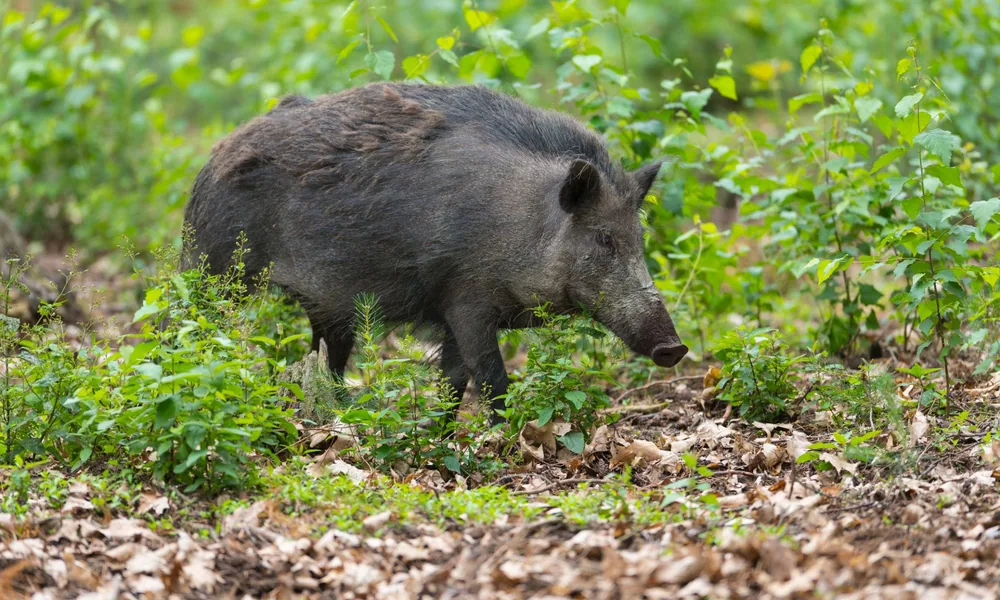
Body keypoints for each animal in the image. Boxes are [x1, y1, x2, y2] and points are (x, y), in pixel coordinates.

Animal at [183, 83, 688, 422]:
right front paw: (502, 441)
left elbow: (453, 381)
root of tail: (214, 157)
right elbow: (491, 378)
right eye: (604, 238)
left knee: (327, 363)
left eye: (639, 237)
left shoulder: (451, 312)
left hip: (328, 310)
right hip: (214, 269)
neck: (521, 222)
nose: (675, 347)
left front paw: (439, 435)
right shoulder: (467, 301)